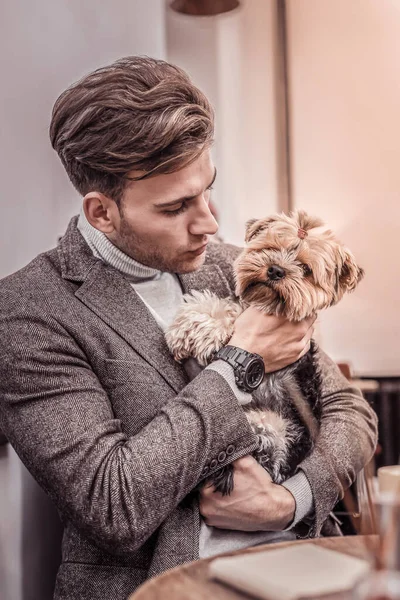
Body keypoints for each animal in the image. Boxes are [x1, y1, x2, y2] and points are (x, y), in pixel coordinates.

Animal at [164, 210, 364, 492]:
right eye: (270, 247)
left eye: (305, 269)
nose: (276, 270)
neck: (266, 304)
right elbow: (227, 308)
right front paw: (186, 325)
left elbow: (229, 317)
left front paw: (203, 329)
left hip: (277, 430)